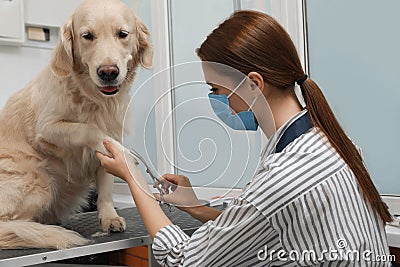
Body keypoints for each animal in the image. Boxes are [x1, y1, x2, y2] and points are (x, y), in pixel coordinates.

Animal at [0, 0, 152, 250]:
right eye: (87, 36)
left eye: (122, 34)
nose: (108, 72)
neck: (93, 98)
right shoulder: (47, 127)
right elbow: (87, 128)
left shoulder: (110, 140)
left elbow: (106, 186)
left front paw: (109, 217)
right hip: (39, 180)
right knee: (10, 222)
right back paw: (38, 231)